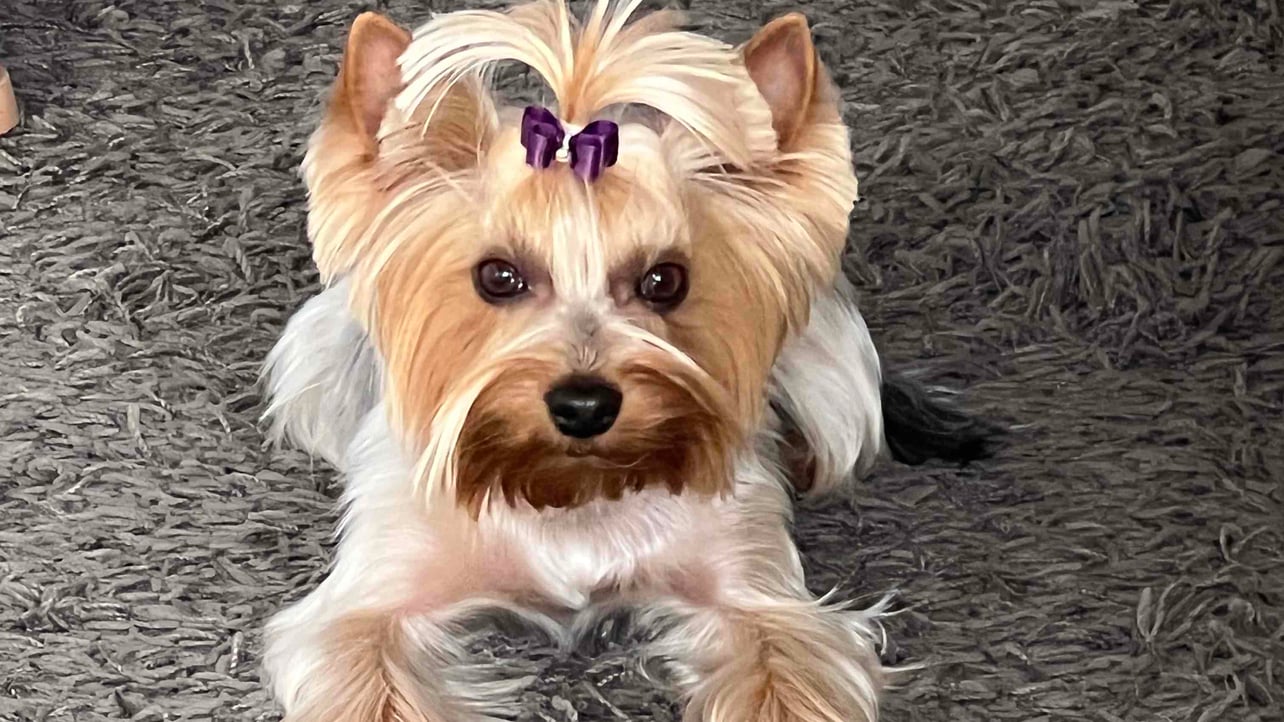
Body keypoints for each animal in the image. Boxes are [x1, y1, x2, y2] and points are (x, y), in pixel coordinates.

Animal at [259, 2, 995, 719]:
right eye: (498, 277)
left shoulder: (762, 601)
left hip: (833, 363)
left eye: (664, 280)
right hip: (313, 368)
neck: (571, 490)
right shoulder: (365, 610)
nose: (584, 405)